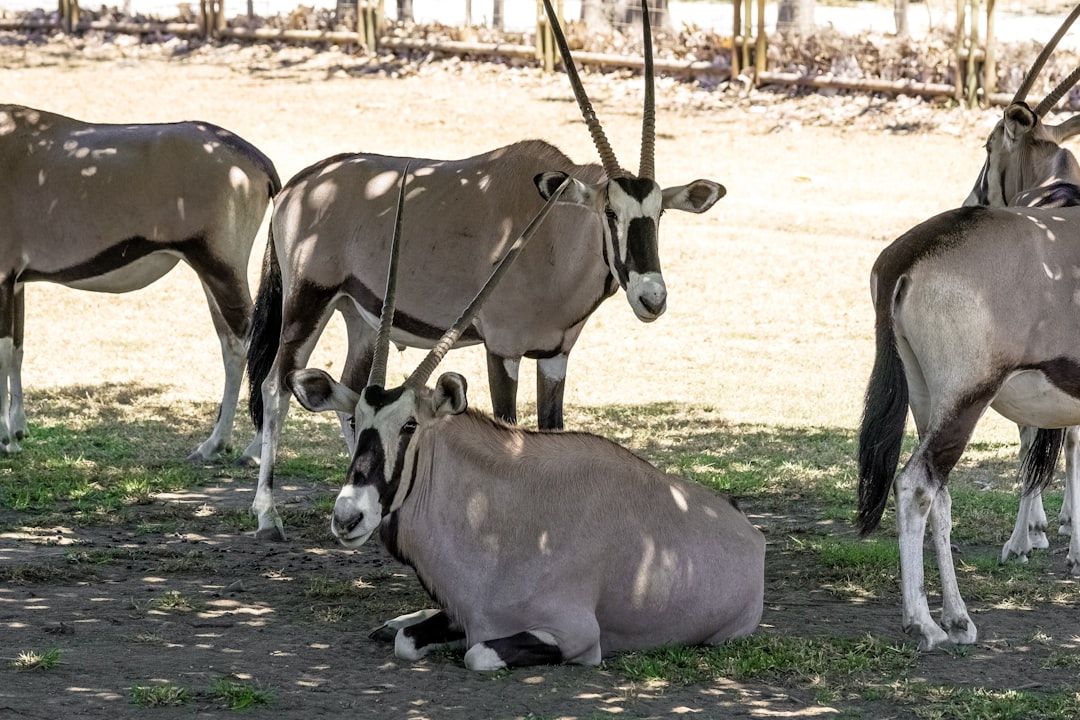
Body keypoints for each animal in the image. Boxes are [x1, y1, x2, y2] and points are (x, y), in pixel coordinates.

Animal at [1, 106, 278, 462]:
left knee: (254, 344)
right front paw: (16, 433)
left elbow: (3, 353)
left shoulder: (3, 277)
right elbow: (17, 350)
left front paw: (4, 437)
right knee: (232, 345)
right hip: (211, 275)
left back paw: (253, 449)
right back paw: (213, 444)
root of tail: (257, 161)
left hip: (221, 269)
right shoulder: (16, 282)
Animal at [245, 0, 725, 539]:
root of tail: (298, 184)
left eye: (659, 213)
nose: (652, 297)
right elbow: (510, 430)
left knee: (347, 391)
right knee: (275, 387)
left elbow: (552, 430)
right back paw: (267, 514)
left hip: (359, 314)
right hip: (308, 301)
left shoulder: (554, 355)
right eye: (610, 212)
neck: (550, 230)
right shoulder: (503, 349)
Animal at [282, 167, 764, 669]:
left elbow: (478, 655)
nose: (348, 517)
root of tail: (752, 537)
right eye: (356, 422)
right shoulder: (464, 614)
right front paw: (403, 627)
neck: (501, 518)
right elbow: (409, 640)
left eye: (410, 425)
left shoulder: (574, 637)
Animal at [859, 7, 1080, 647]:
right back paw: (926, 623)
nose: (974, 193)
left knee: (940, 492)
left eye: (987, 145)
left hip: (929, 396)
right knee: (917, 485)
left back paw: (958, 617)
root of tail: (908, 254)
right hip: (967, 394)